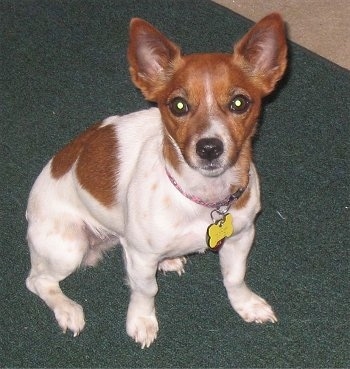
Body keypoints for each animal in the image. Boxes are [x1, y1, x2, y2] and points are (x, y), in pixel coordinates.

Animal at [24, 14, 288, 346]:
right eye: (178, 105)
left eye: (240, 103)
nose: (209, 147)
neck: (203, 197)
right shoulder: (140, 256)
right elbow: (145, 290)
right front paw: (141, 320)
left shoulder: (241, 236)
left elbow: (235, 278)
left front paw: (246, 305)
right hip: (68, 246)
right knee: (37, 280)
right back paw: (67, 309)